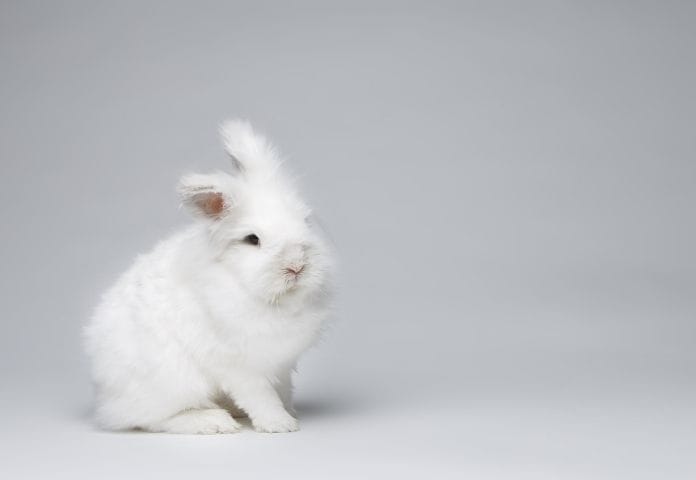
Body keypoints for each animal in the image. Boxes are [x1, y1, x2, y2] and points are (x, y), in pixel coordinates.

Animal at [83, 120, 334, 434]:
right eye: (252, 239)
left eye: (306, 222)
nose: (297, 266)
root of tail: (104, 395)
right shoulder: (238, 365)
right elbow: (261, 396)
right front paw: (280, 424)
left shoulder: (281, 364)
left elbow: (283, 389)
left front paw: (290, 412)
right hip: (174, 382)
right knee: (151, 419)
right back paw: (214, 421)